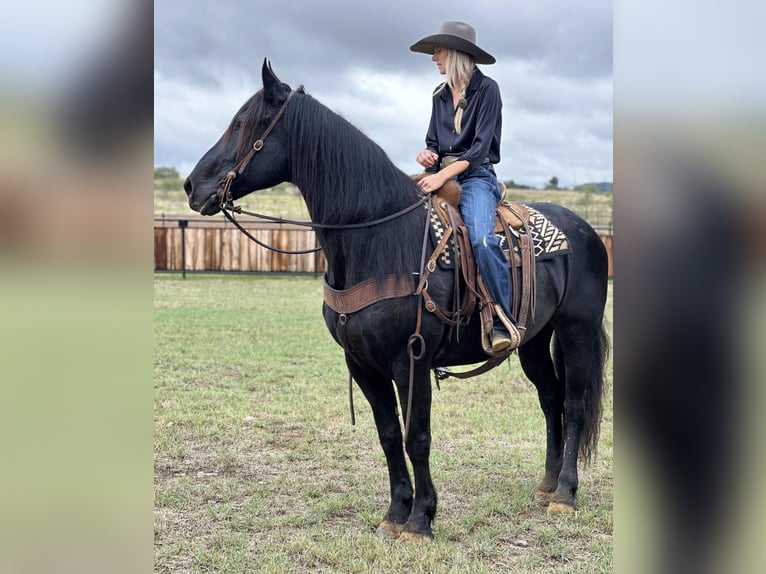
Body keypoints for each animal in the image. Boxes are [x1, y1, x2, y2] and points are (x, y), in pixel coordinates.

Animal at [186, 62, 612, 544]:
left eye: (244, 123)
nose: (191, 185)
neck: (377, 239)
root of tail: (586, 230)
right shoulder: (362, 364)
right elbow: (389, 435)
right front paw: (395, 513)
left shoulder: (412, 361)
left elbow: (417, 437)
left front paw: (421, 519)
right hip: (534, 341)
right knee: (550, 399)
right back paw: (546, 485)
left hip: (576, 331)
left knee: (574, 405)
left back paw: (565, 495)